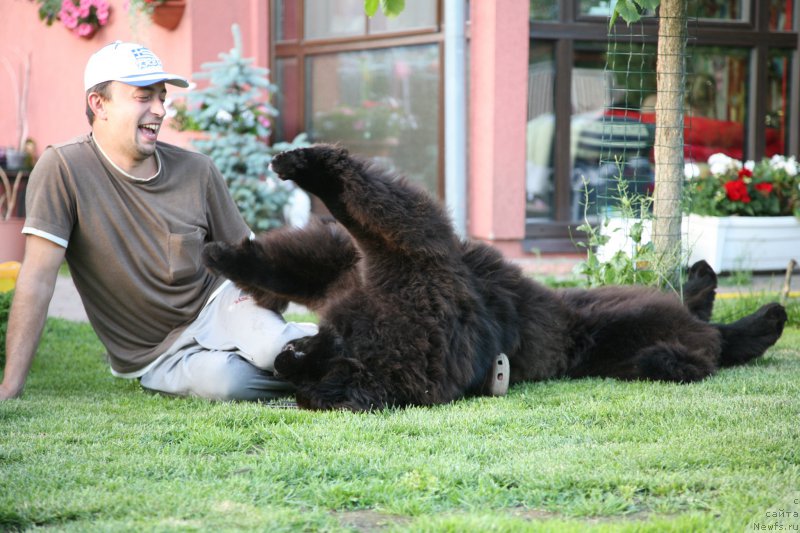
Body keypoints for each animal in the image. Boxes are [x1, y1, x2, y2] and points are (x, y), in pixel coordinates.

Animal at [203, 143, 792, 410]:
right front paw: (222, 256)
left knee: (714, 332)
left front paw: (305, 164)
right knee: (706, 315)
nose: (284, 359)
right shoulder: (350, 269)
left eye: (314, 365)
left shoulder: (412, 259)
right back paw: (717, 287)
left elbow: (366, 203)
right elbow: (282, 267)